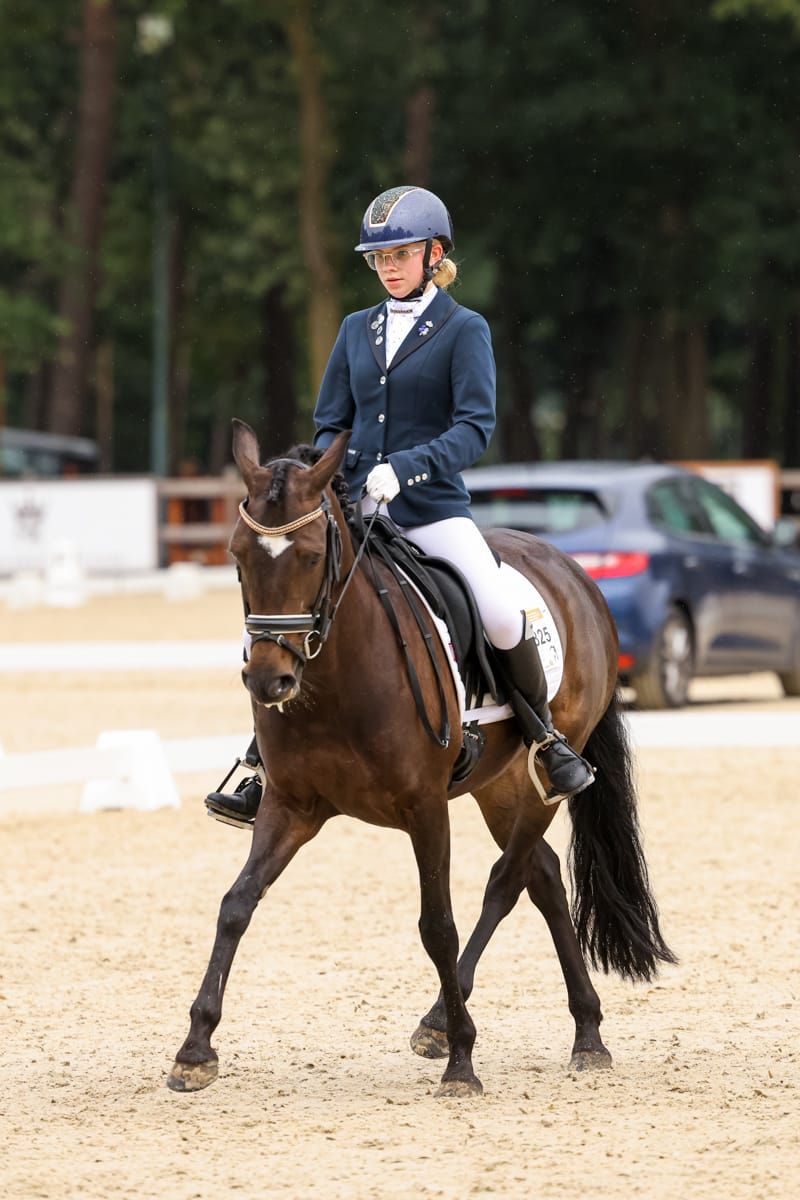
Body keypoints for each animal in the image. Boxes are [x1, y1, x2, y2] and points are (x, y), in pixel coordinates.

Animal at [167, 419, 675, 1098]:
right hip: (500, 785)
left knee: (507, 879)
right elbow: (235, 905)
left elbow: (438, 924)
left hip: (544, 776)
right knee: (542, 874)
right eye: (237, 556)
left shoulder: (426, 807)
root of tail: (575, 575)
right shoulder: (290, 805)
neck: (336, 675)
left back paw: (447, 1021)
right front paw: (195, 1049)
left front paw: (462, 1062)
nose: (269, 682)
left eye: (310, 556)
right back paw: (586, 1033)